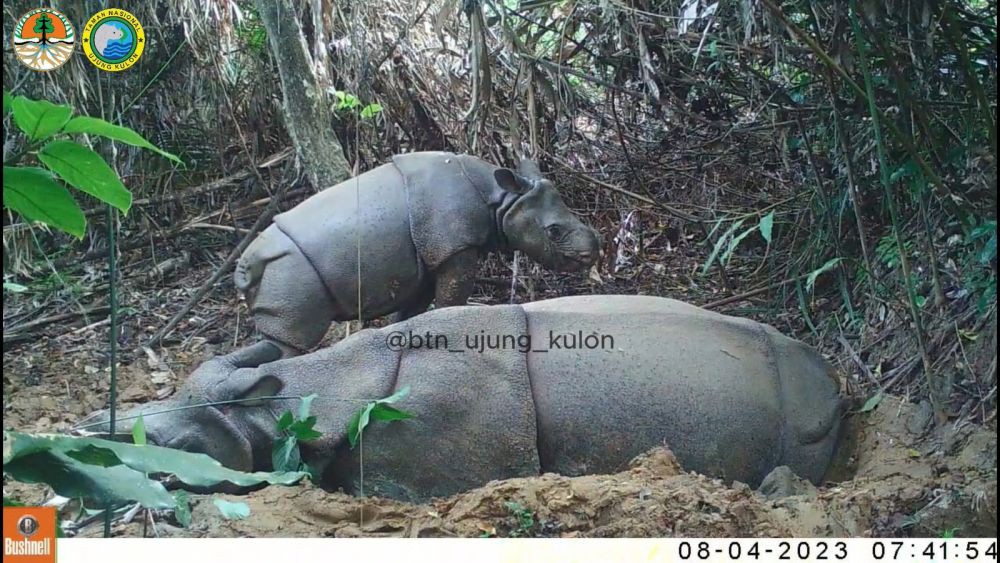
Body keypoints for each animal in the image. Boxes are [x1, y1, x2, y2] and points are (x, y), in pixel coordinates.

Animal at [232, 151, 600, 356]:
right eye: (554, 231)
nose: (592, 254)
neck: (500, 199)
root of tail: (247, 263)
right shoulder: (455, 247)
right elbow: (451, 300)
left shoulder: (424, 260)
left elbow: (410, 313)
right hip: (290, 272)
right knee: (290, 344)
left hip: (282, 273)